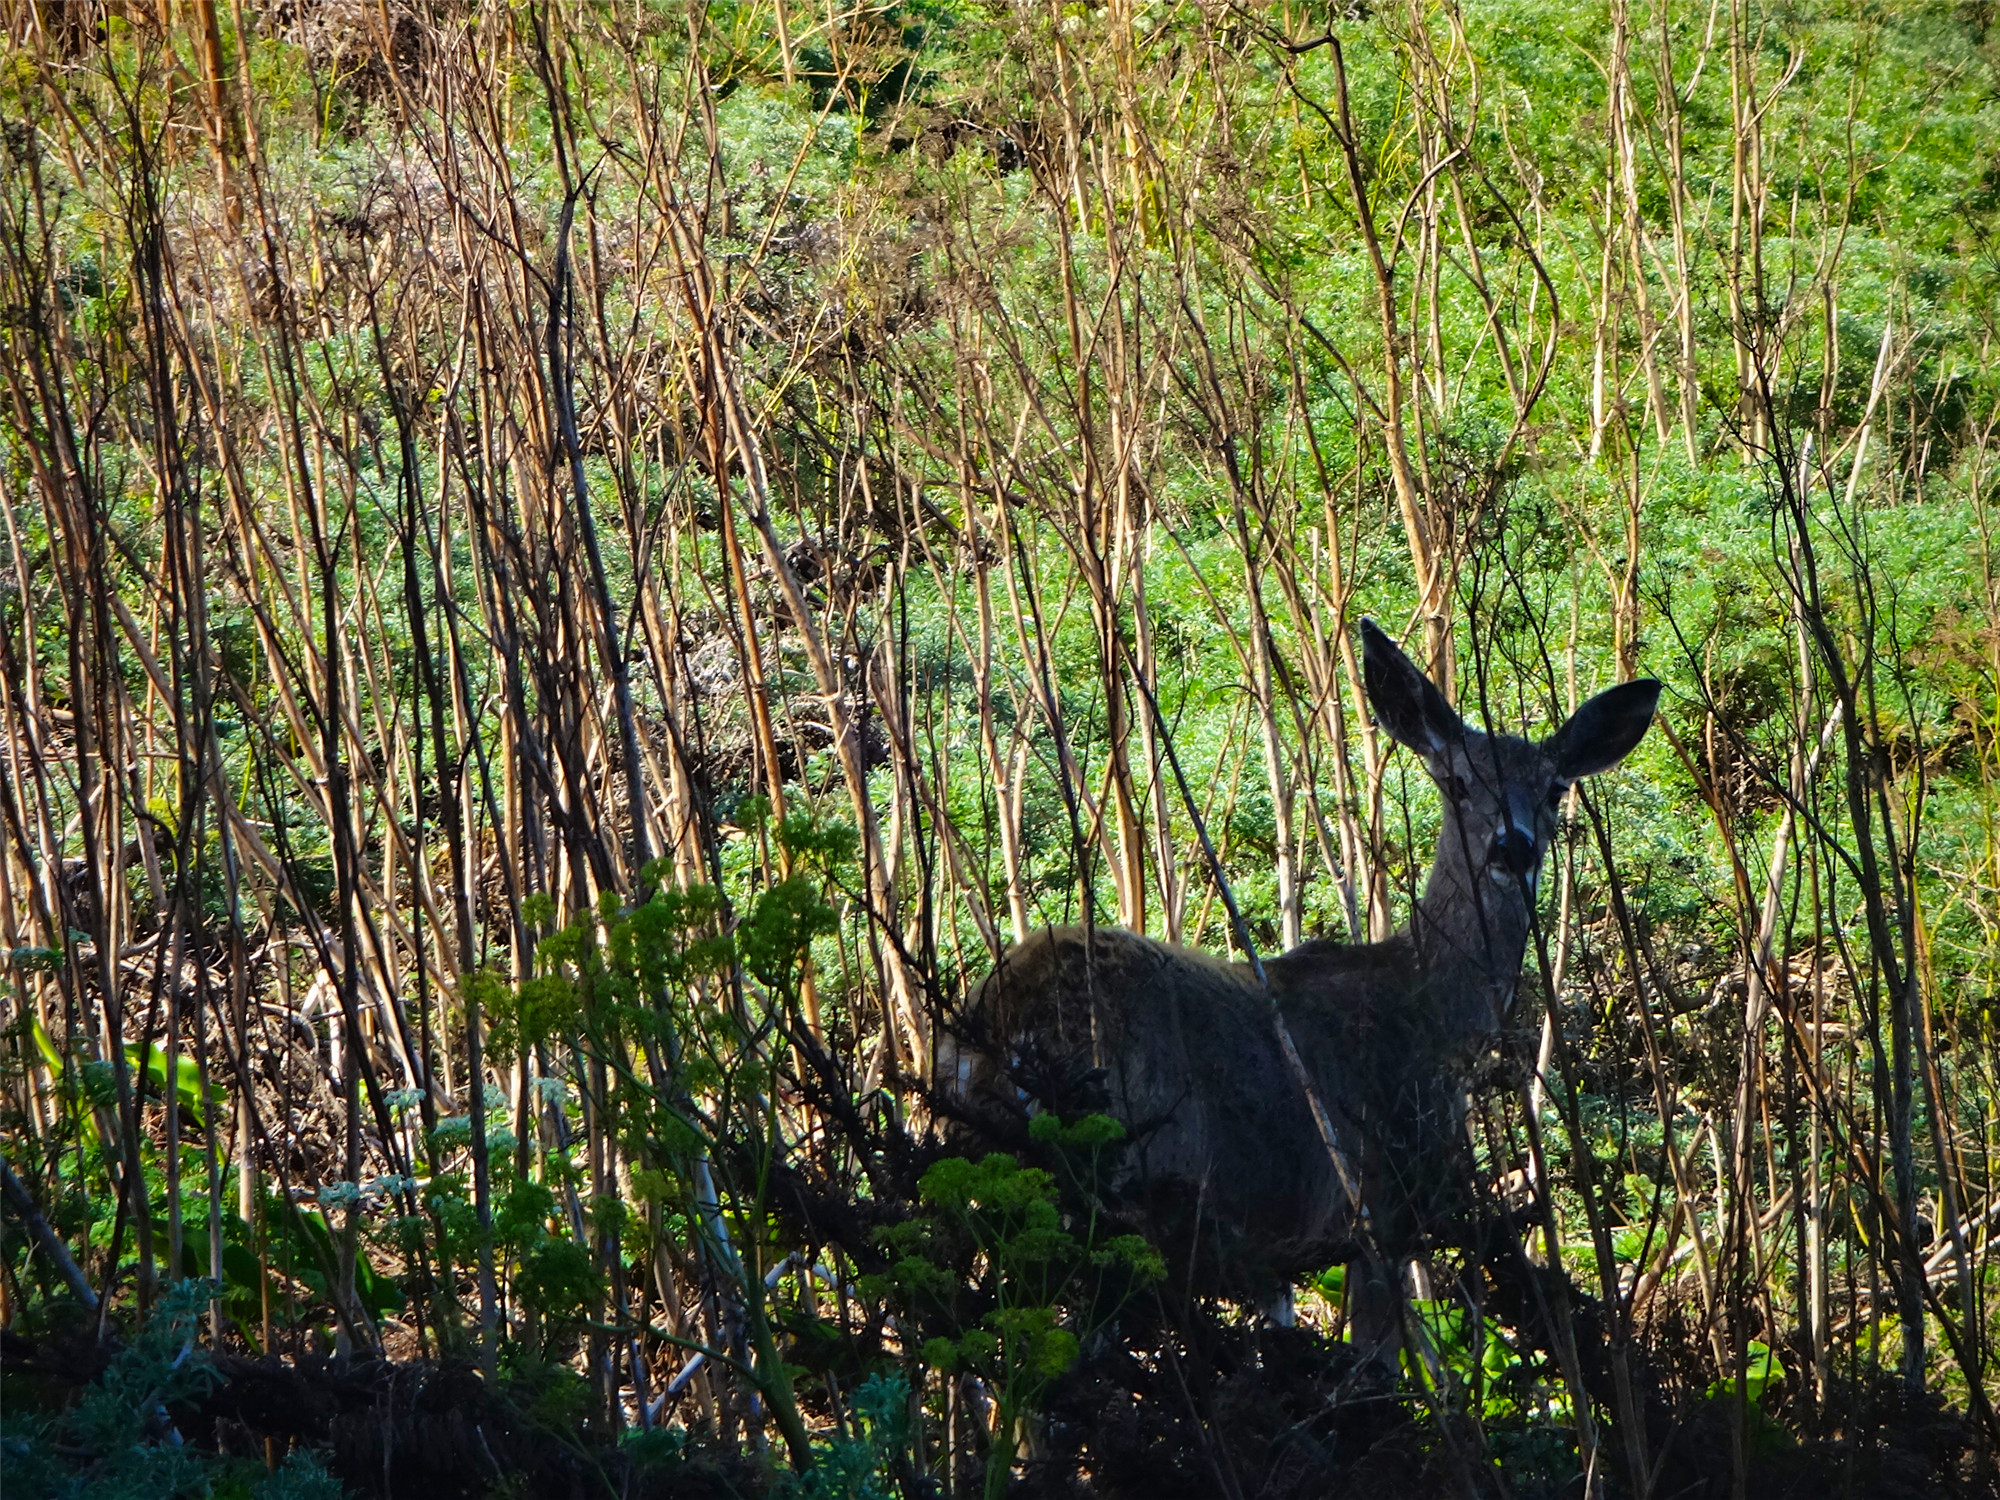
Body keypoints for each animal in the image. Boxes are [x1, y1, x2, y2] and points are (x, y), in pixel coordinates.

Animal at [932, 616, 1656, 1368]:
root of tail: (995, 1017)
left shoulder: (1279, 1247)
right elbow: (1387, 1363)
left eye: (1554, 790)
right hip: (1109, 1178)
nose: (1512, 847)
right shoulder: (1380, 1202)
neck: (1432, 1011)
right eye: (1458, 782)